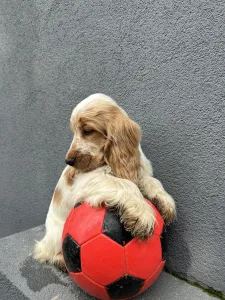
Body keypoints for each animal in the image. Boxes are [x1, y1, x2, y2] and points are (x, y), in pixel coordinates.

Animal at [33, 92, 176, 268]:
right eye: (74, 131)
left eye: (87, 130)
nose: (68, 161)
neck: (108, 159)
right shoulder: (87, 180)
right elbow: (127, 184)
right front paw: (143, 216)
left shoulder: (137, 170)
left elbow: (151, 181)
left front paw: (165, 202)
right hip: (56, 236)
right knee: (46, 252)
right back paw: (61, 262)